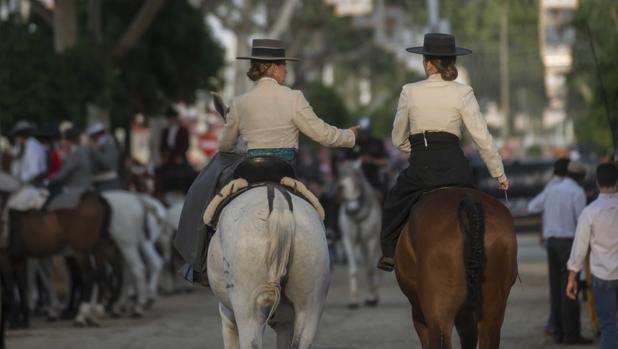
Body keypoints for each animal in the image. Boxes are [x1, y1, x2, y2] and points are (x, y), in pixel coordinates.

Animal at [336, 160, 380, 308]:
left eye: (359, 184)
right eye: (341, 187)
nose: (352, 208)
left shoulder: (371, 240)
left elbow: (370, 268)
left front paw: (372, 298)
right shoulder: (348, 241)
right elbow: (353, 269)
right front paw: (353, 300)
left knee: (372, 265)